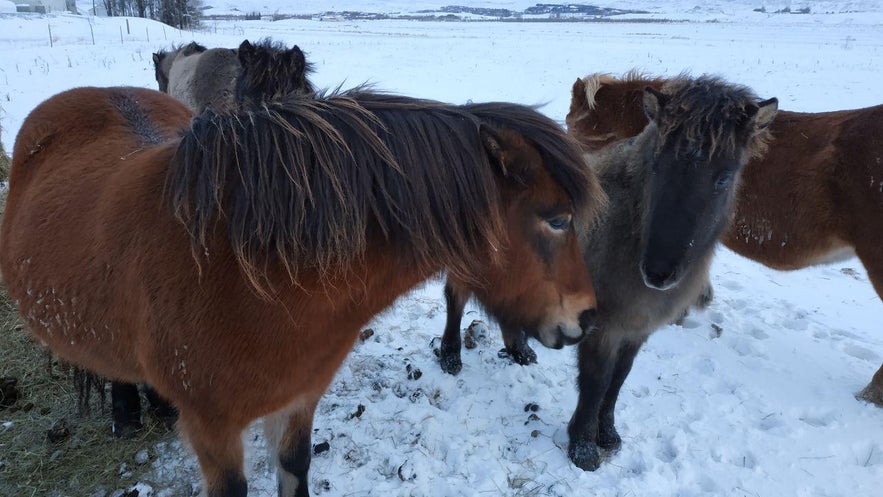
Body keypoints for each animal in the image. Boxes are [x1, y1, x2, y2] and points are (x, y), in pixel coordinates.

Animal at [0, 87, 604, 494]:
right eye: (557, 220)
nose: (587, 318)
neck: (247, 278)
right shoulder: (215, 431)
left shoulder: (298, 402)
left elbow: (295, 471)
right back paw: (126, 413)